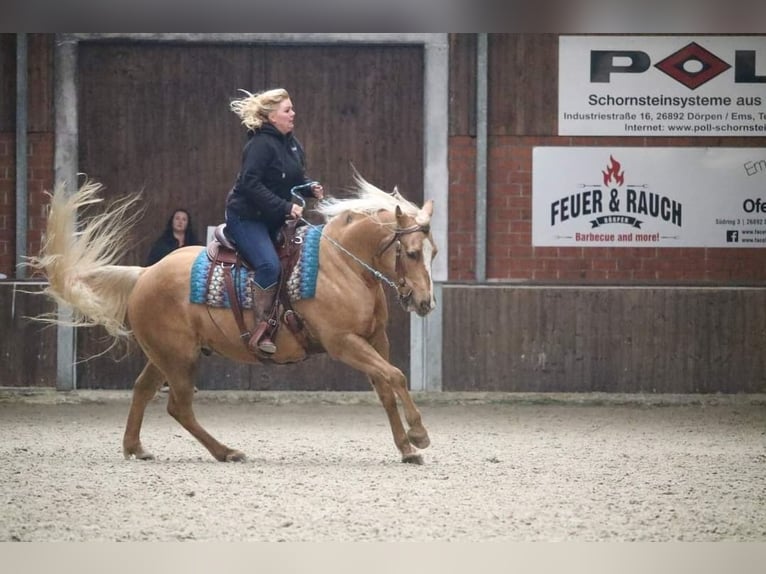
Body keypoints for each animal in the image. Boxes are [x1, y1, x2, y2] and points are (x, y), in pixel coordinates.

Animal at [28, 174, 438, 464]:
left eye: (432, 252)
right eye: (411, 253)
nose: (425, 302)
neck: (343, 266)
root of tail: (145, 274)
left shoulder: (375, 339)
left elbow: (386, 386)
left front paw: (406, 448)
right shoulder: (343, 343)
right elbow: (396, 377)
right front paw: (419, 434)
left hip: (165, 356)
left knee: (143, 390)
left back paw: (136, 448)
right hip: (180, 358)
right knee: (178, 406)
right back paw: (226, 452)